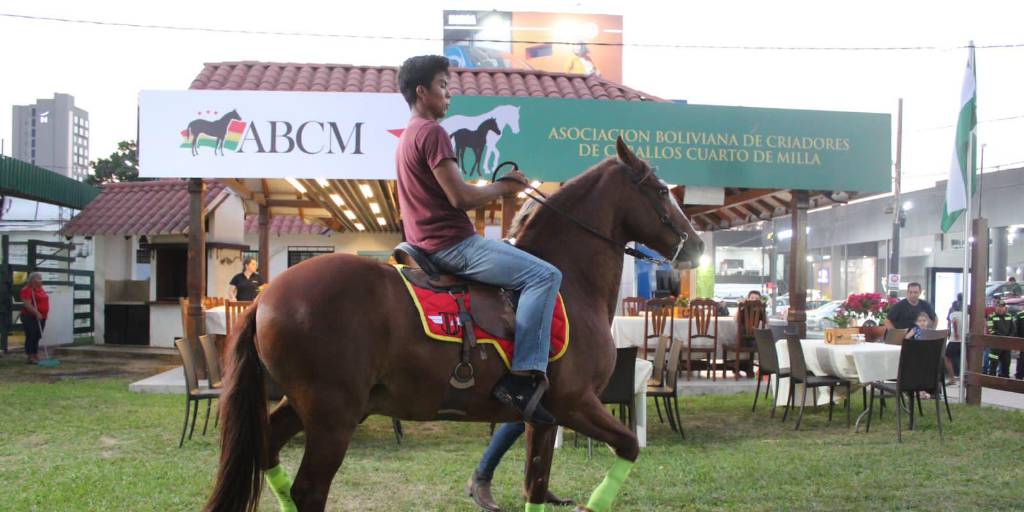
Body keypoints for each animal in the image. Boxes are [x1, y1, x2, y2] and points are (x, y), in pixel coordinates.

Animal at [203, 137, 704, 512]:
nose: (697, 244)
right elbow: (629, 445)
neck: (571, 281)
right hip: (332, 416)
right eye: (661, 191)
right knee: (308, 491)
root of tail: (267, 297)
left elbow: (535, 488)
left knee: (268, 452)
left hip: (307, 406)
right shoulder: (576, 404)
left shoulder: (542, 418)